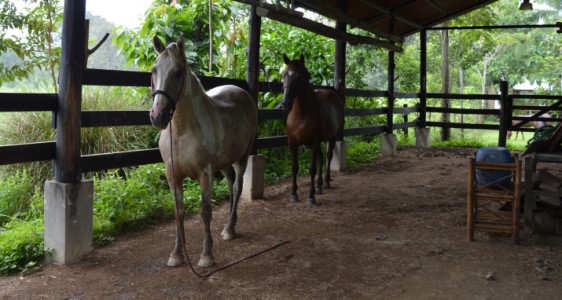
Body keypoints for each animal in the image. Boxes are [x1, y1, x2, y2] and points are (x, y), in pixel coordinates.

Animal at [148, 35, 255, 268]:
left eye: (178, 72)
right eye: (154, 70)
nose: (158, 116)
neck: (182, 132)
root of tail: (242, 92)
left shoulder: (205, 174)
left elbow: (206, 212)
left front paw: (207, 255)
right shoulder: (173, 175)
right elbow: (178, 211)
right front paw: (177, 254)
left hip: (241, 158)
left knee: (237, 188)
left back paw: (229, 229)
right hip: (223, 164)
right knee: (231, 184)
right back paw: (229, 226)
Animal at [280, 53, 342, 204]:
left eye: (298, 77)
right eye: (284, 75)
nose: (285, 103)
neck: (301, 115)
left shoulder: (314, 143)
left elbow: (312, 169)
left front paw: (311, 197)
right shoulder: (292, 144)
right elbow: (294, 168)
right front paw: (293, 194)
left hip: (332, 138)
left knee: (328, 156)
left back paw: (325, 183)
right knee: (321, 158)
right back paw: (319, 186)